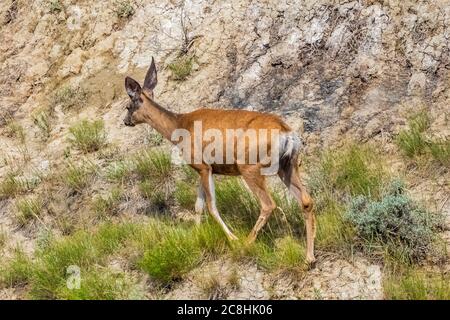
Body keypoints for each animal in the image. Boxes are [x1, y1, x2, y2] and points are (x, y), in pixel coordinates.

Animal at [121, 57, 314, 264]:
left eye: (128, 106)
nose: (125, 121)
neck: (178, 126)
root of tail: (287, 133)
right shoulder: (203, 169)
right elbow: (198, 206)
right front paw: (197, 236)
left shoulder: (202, 165)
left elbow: (211, 206)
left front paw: (232, 238)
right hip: (288, 165)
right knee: (306, 200)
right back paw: (309, 257)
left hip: (250, 167)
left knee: (268, 204)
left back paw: (246, 243)